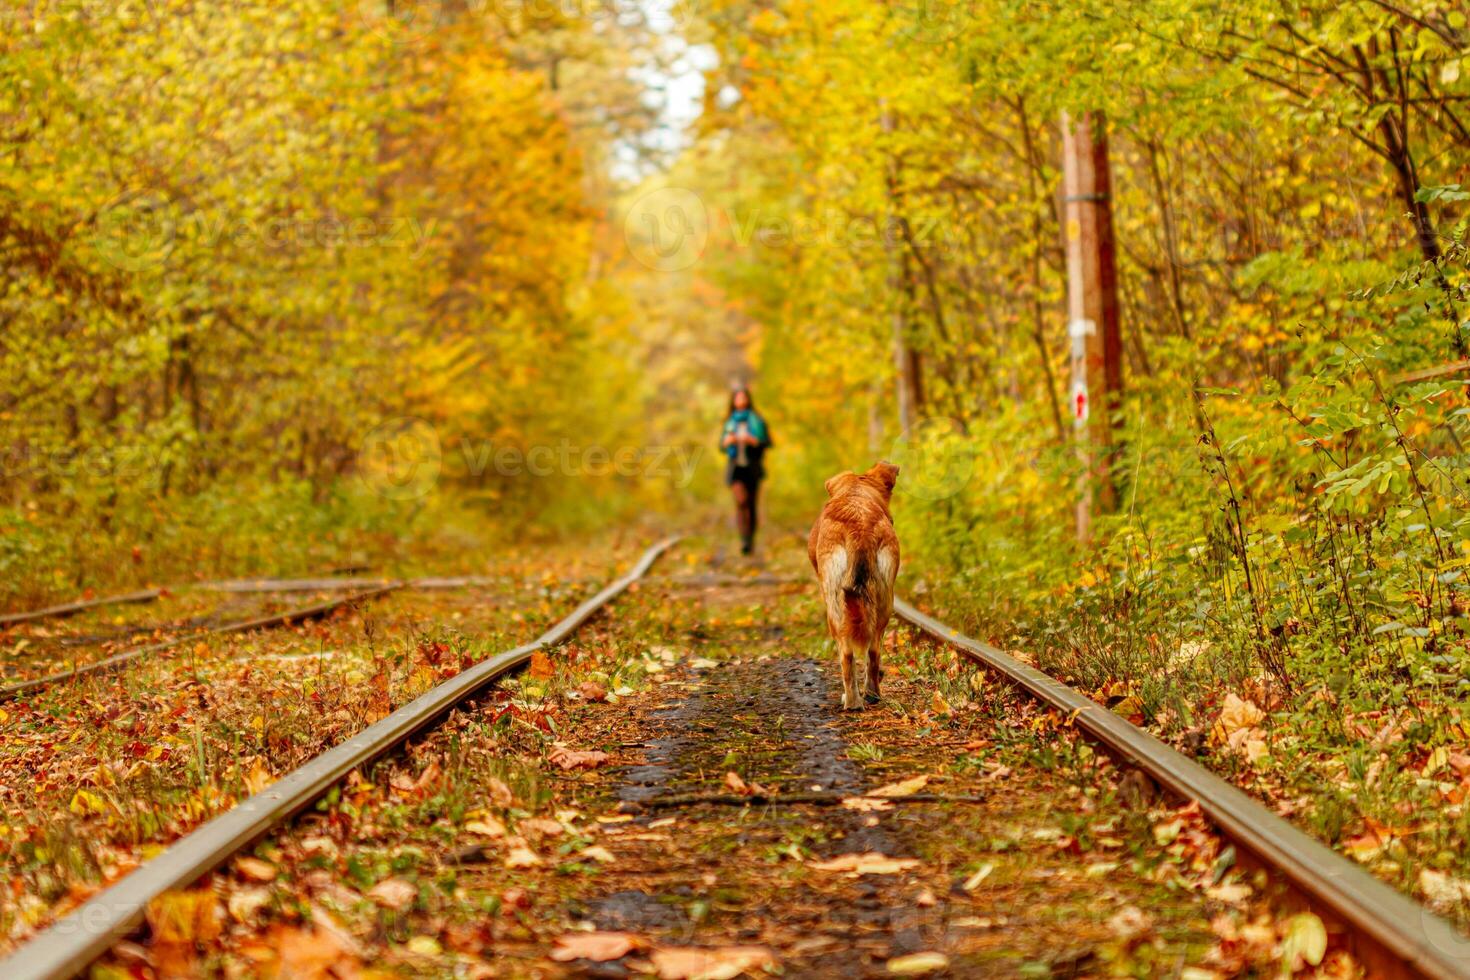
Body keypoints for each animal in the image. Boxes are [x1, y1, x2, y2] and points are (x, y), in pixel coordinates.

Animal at [811, 464, 899, 708]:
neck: (856, 493)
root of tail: (859, 526)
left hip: (834, 608)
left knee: (846, 654)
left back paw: (851, 701)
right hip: (885, 602)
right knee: (874, 651)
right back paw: (872, 695)